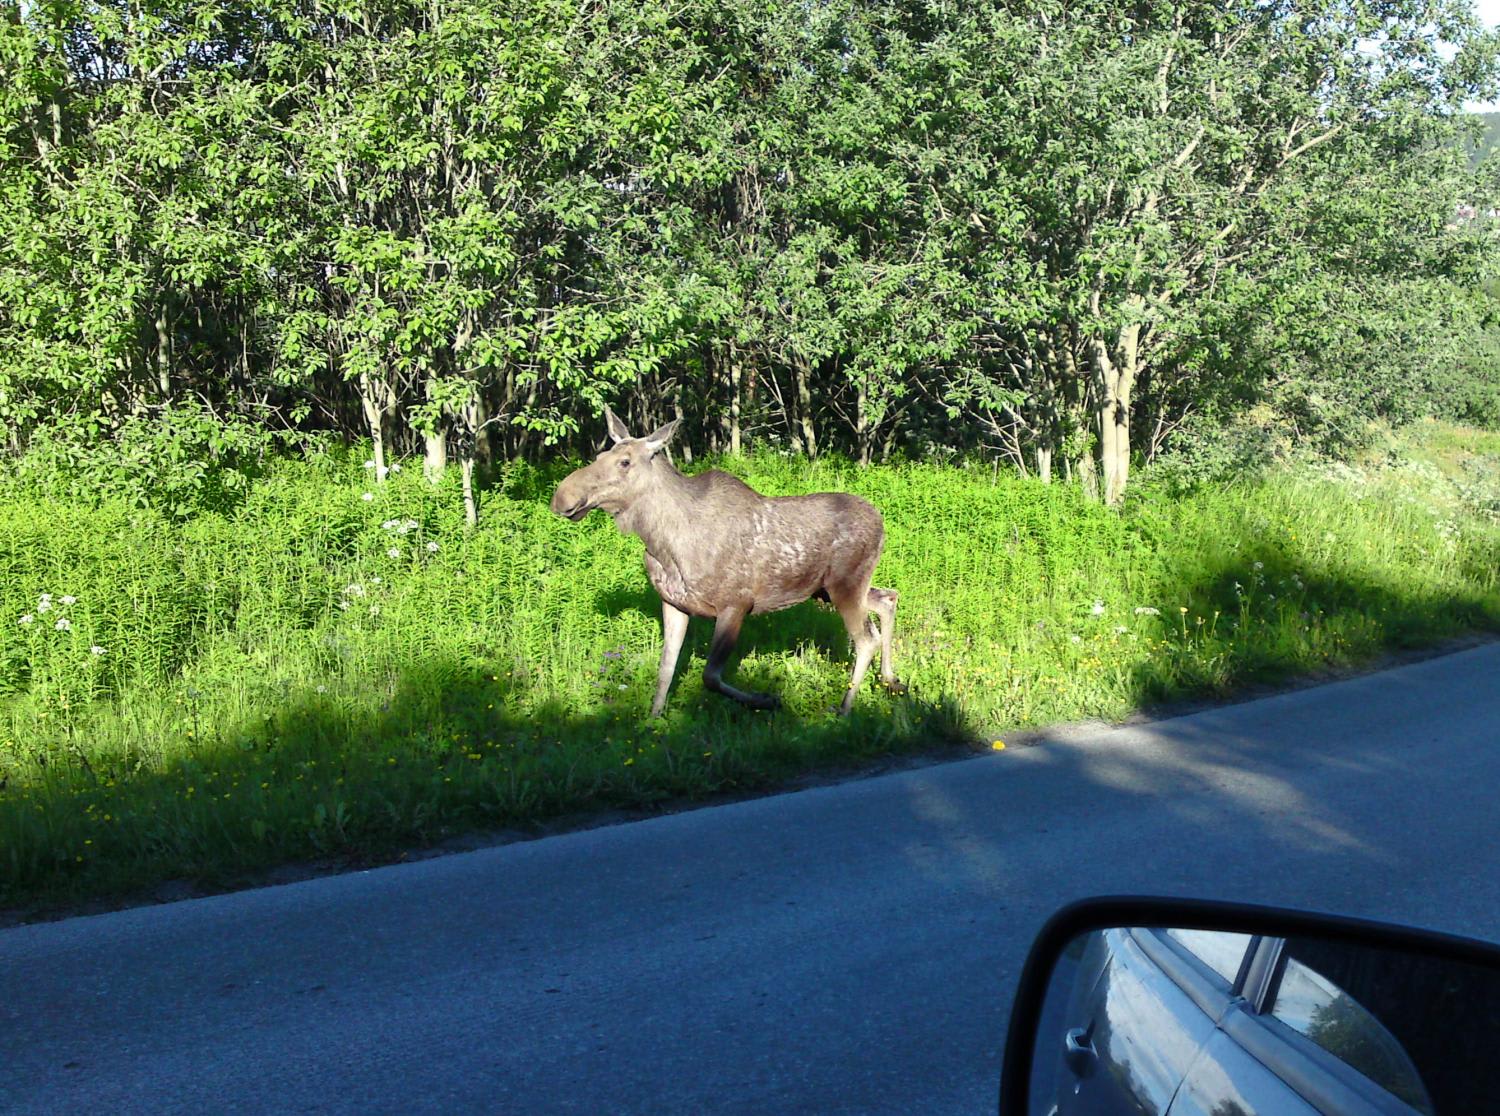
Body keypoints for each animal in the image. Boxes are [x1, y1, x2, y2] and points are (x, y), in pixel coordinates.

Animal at [550, 408, 904, 717]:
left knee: (867, 639)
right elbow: (666, 667)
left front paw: (766, 699)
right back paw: (890, 678)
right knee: (887, 598)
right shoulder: (673, 603)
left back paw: (845, 707)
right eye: (598, 457)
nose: (562, 497)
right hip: (830, 590)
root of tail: (882, 523)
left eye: (624, 462)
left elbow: (710, 676)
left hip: (845, 586)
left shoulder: (736, 604)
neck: (662, 544)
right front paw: (653, 718)